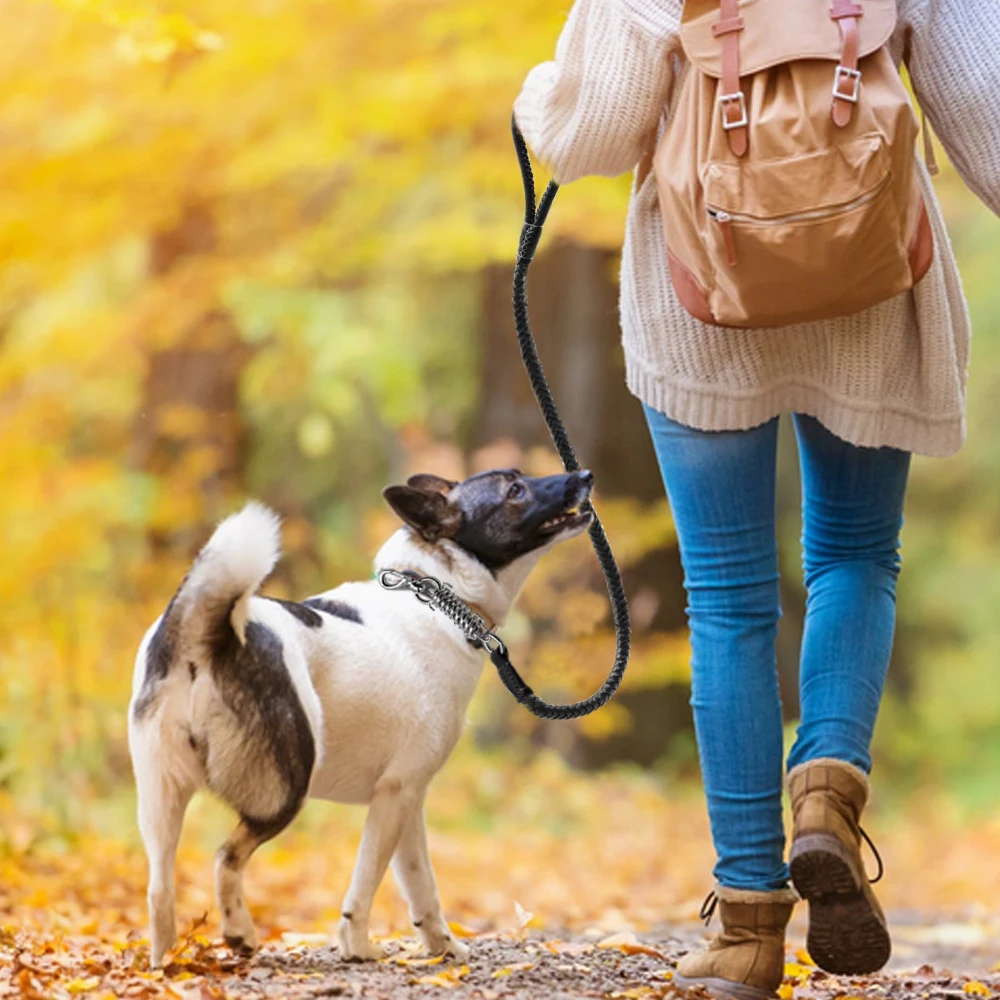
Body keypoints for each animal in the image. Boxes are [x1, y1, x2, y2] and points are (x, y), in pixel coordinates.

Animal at [125, 468, 592, 968]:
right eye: (514, 490)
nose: (583, 475)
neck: (435, 594)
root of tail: (206, 634)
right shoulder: (394, 795)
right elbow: (366, 884)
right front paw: (359, 948)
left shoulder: (408, 801)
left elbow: (421, 885)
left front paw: (442, 948)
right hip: (283, 790)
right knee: (226, 857)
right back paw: (239, 932)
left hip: (161, 800)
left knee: (158, 890)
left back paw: (167, 965)